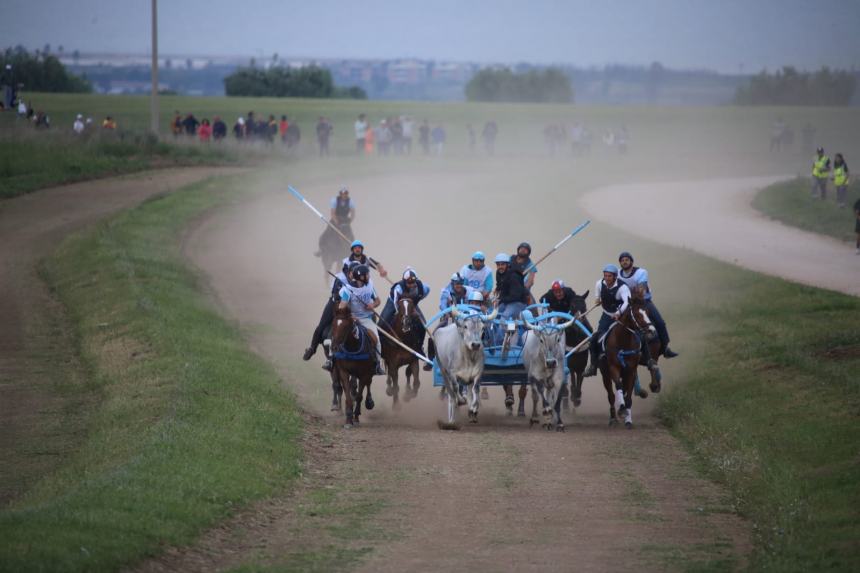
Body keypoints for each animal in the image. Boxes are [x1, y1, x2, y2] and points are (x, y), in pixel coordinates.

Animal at [600, 288, 656, 426]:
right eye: (637, 314)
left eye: (647, 312)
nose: (652, 331)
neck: (623, 343)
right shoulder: (613, 367)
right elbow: (618, 387)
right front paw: (621, 409)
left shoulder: (631, 370)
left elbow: (629, 396)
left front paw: (628, 419)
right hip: (605, 374)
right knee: (611, 395)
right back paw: (613, 418)